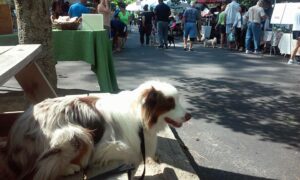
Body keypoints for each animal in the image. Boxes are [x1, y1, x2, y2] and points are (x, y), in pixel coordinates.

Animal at [2, 81, 191, 179]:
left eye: (177, 101)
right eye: (170, 104)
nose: (189, 116)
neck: (140, 115)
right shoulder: (106, 147)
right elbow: (130, 153)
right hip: (75, 134)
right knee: (42, 170)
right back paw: (70, 168)